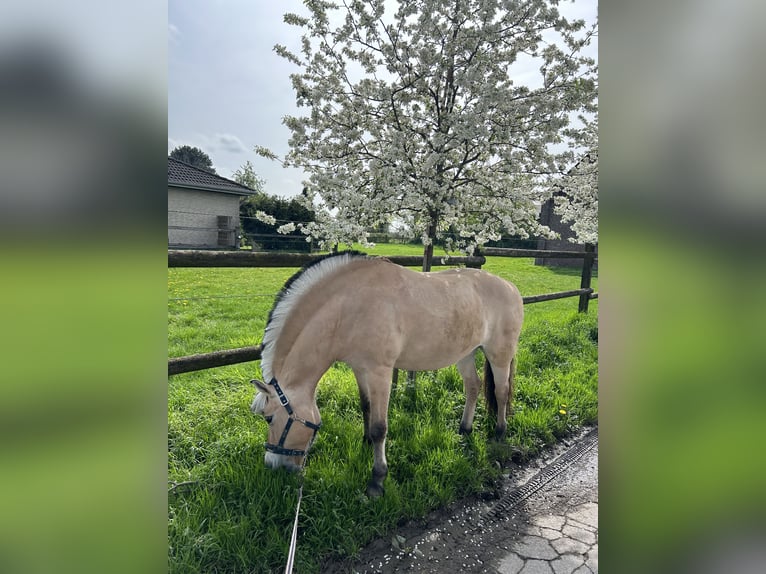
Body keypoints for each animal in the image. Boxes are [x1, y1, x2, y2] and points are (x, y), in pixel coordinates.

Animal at [249, 252, 524, 500]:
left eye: (269, 418)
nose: (273, 465)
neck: (350, 307)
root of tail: (511, 287)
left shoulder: (380, 372)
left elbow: (380, 427)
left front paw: (377, 480)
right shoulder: (360, 369)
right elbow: (366, 407)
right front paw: (365, 442)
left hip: (499, 354)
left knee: (500, 392)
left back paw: (499, 434)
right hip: (465, 354)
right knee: (473, 386)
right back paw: (464, 430)